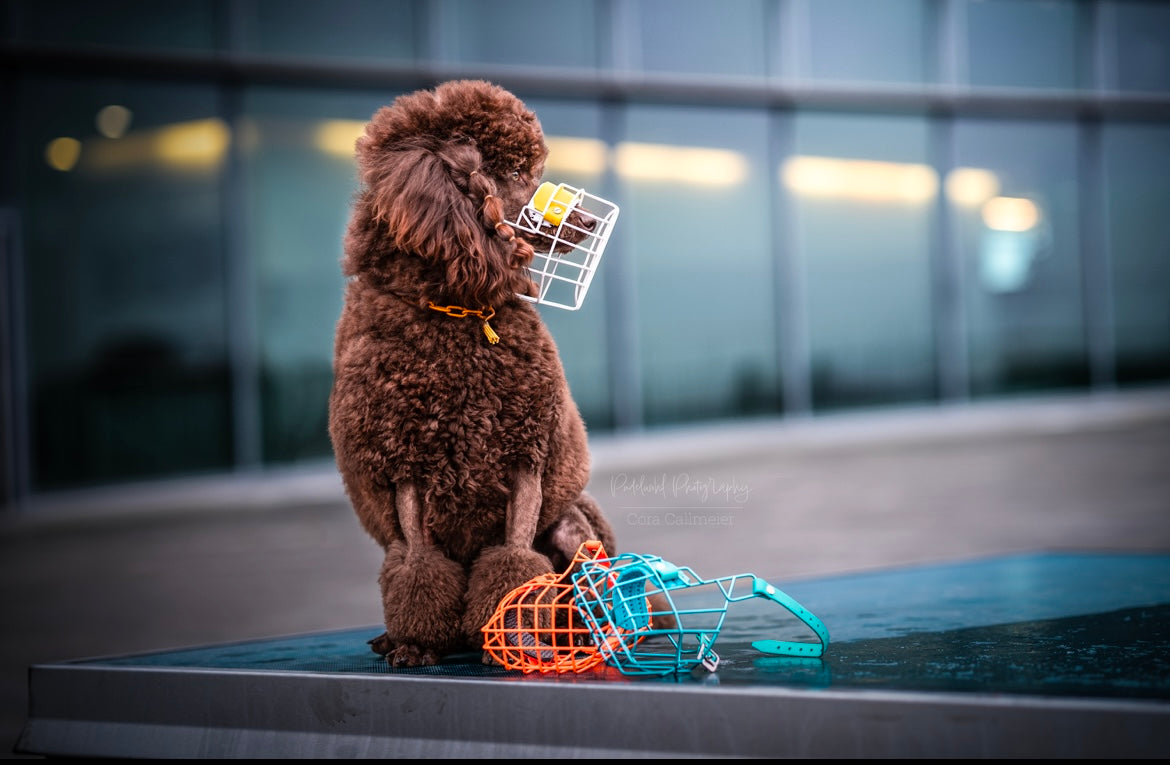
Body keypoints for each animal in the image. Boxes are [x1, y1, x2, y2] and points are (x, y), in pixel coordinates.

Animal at [327, 79, 617, 673]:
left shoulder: (525, 455)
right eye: (513, 171)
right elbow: (419, 566)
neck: (457, 313)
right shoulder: (404, 464)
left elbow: (514, 563)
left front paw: (514, 637)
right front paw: (415, 645)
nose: (589, 220)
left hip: (573, 528)